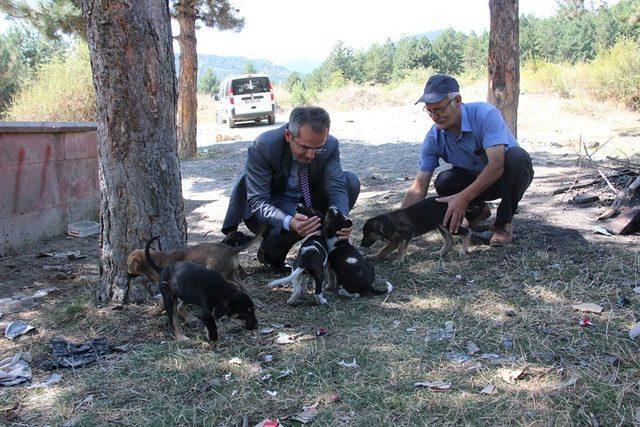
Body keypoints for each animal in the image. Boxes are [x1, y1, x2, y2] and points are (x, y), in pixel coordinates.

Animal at [127, 232, 260, 316]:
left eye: (127, 264)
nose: (127, 275)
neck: (154, 260)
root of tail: (231, 249)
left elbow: (162, 303)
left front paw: (155, 312)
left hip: (216, 273)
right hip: (232, 274)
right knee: (243, 288)